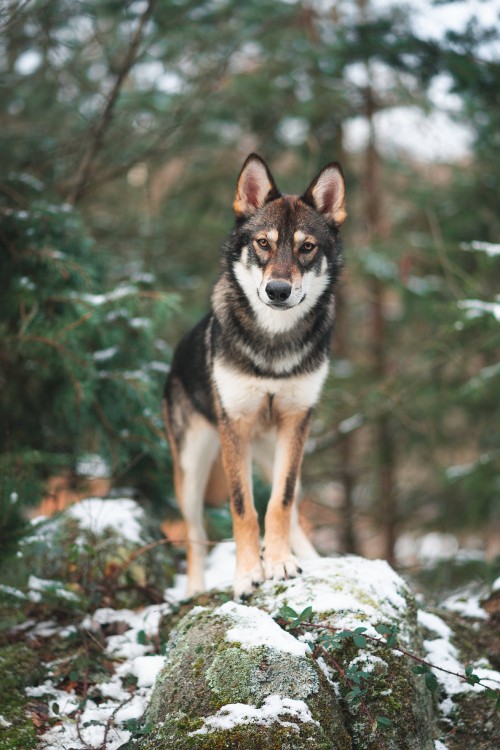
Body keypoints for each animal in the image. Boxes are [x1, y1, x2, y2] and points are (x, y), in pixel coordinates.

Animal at [162, 154, 346, 600]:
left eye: (306, 247)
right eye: (264, 243)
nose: (278, 290)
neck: (273, 345)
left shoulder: (297, 422)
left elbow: (279, 502)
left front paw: (279, 563)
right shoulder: (236, 427)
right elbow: (243, 508)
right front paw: (248, 574)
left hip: (278, 450)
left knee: (292, 507)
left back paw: (310, 559)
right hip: (192, 470)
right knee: (194, 535)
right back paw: (193, 591)